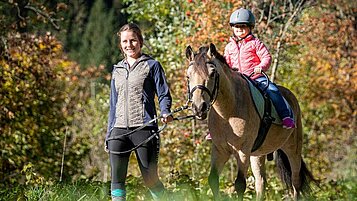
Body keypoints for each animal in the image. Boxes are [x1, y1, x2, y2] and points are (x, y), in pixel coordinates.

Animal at [185, 43, 312, 200]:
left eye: (213, 74)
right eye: (188, 75)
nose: (199, 108)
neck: (228, 113)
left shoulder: (242, 151)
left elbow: (240, 184)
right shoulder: (219, 150)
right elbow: (213, 180)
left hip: (293, 148)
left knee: (296, 182)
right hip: (257, 155)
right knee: (261, 182)